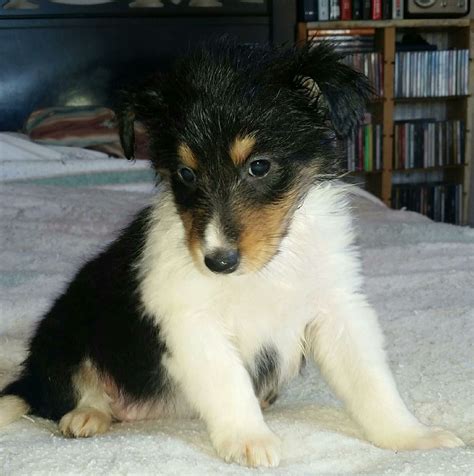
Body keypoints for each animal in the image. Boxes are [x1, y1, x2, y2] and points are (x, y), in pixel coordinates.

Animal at [0, 41, 462, 468]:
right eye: (185, 173)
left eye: (259, 166)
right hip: (65, 331)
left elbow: (371, 381)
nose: (218, 262)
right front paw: (249, 441)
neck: (265, 272)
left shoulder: (337, 308)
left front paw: (413, 437)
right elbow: (228, 382)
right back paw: (86, 416)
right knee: (59, 391)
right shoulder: (189, 319)